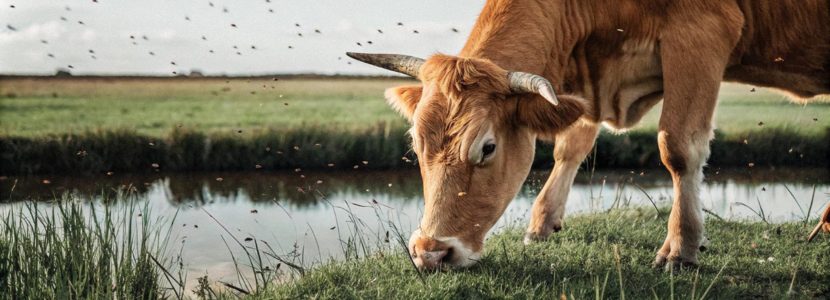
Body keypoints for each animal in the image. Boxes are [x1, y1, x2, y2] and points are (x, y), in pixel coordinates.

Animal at [348, 0, 828, 270]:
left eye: (487, 147)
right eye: (416, 144)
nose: (430, 253)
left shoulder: (701, 33)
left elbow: (679, 147)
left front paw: (681, 248)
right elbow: (570, 146)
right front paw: (541, 225)